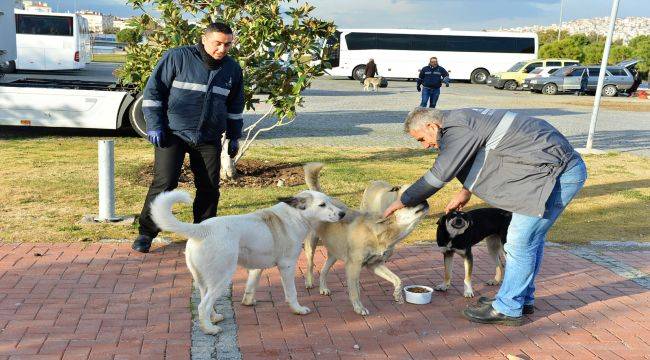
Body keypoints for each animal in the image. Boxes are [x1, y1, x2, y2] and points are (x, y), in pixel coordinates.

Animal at [151, 188, 344, 334]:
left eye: (330, 201)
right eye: (322, 205)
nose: (342, 214)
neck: (295, 216)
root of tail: (202, 229)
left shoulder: (257, 268)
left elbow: (251, 286)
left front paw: (248, 302)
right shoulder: (287, 266)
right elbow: (292, 293)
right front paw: (297, 309)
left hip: (204, 281)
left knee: (205, 301)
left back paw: (213, 318)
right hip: (222, 279)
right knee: (202, 306)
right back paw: (209, 329)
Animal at [302, 163, 428, 316]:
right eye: (409, 201)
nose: (425, 198)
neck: (381, 233)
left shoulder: (374, 264)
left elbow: (397, 279)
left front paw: (398, 295)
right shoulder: (353, 266)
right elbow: (355, 291)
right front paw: (359, 307)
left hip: (334, 254)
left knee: (323, 270)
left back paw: (323, 288)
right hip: (311, 245)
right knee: (310, 264)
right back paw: (309, 282)